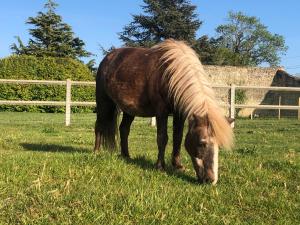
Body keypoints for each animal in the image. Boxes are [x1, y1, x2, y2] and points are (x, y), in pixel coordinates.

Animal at [95, 38, 233, 185]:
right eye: (202, 143)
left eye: (219, 146)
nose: (210, 180)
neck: (170, 73)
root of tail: (107, 58)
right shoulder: (161, 111)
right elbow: (162, 138)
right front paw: (160, 166)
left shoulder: (179, 113)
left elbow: (177, 137)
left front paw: (177, 165)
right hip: (103, 102)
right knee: (99, 125)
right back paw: (96, 152)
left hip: (129, 110)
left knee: (124, 129)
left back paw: (126, 156)